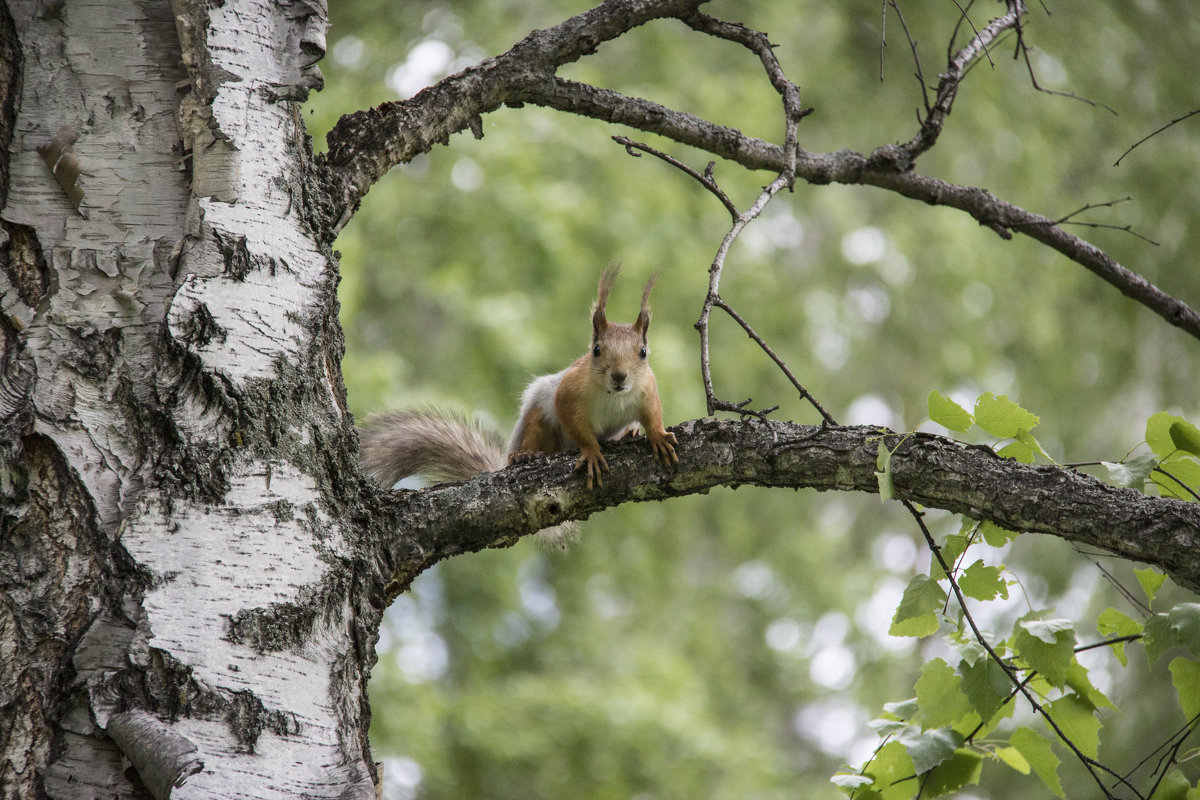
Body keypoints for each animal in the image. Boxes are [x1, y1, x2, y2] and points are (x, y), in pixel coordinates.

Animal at [357, 266, 676, 546]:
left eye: (643, 352)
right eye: (596, 351)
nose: (620, 376)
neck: (614, 396)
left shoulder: (647, 390)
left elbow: (652, 414)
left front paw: (657, 436)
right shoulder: (568, 394)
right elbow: (574, 423)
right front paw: (592, 452)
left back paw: (628, 433)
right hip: (537, 423)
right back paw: (523, 456)